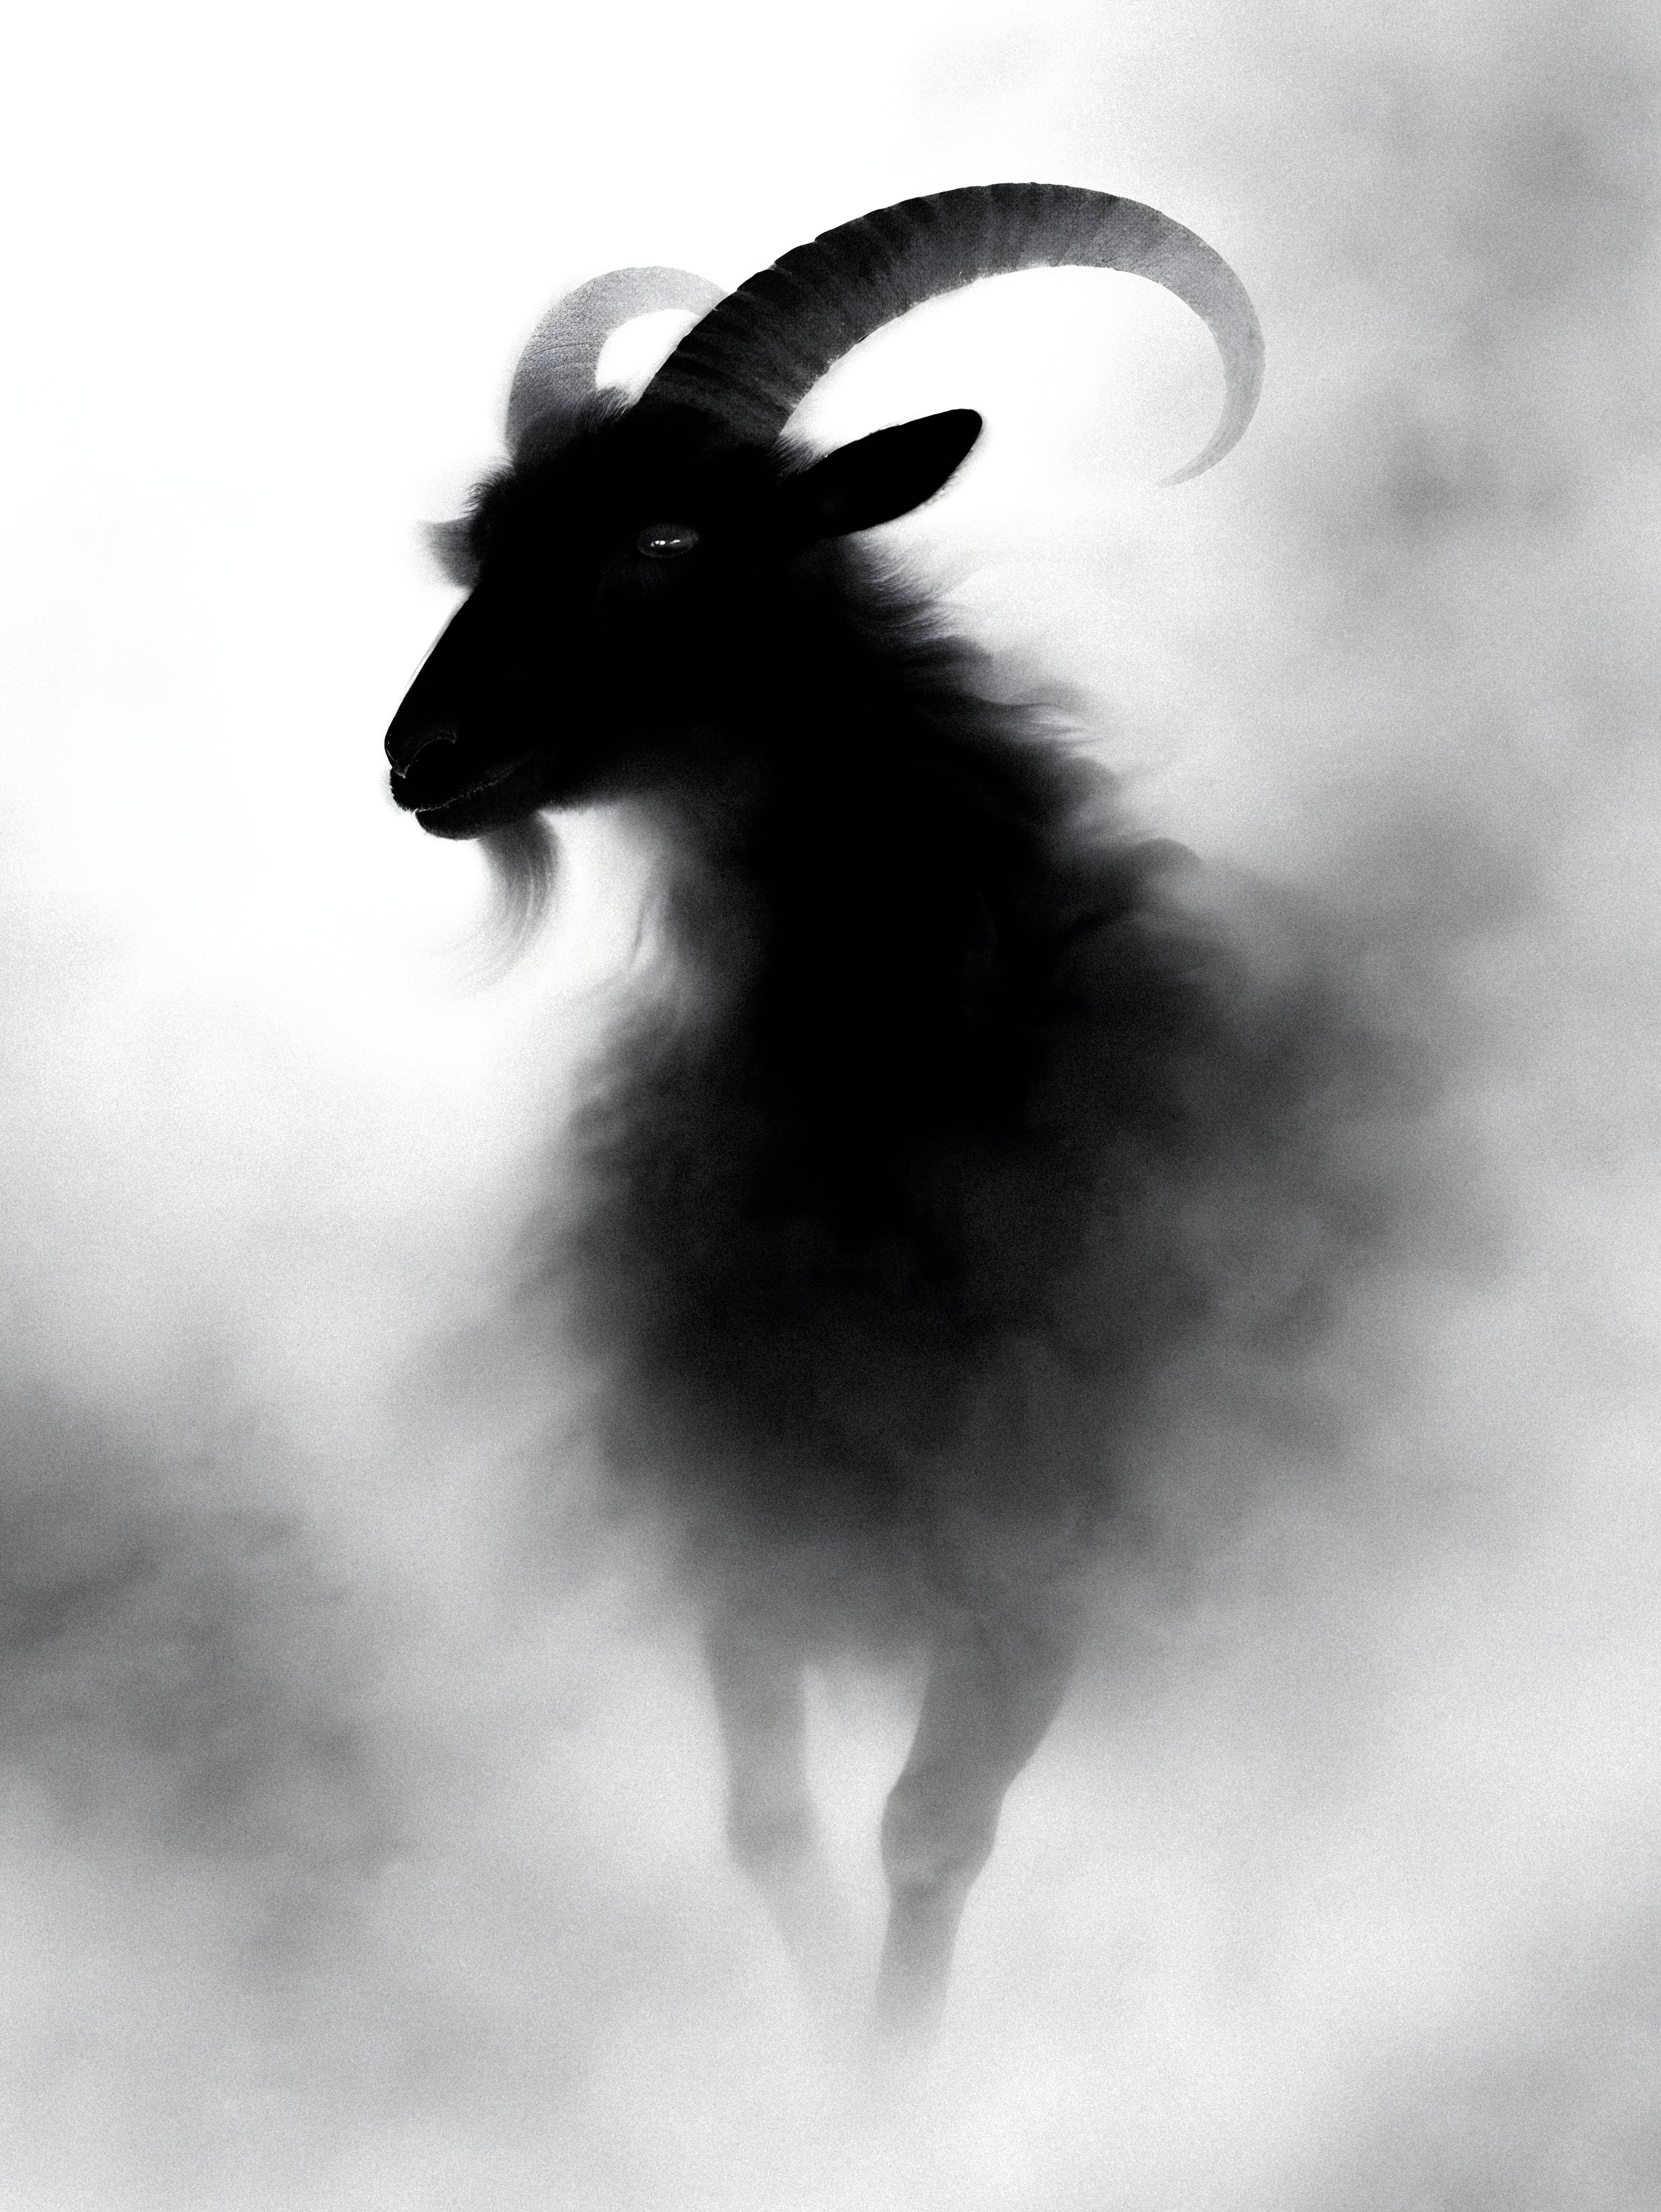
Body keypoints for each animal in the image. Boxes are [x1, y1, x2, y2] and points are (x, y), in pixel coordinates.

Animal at [386, 184, 1356, 2060]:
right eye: (482, 551)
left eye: (670, 538)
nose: (422, 751)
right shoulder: (736, 1528)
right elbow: (770, 1824)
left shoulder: (1039, 1550)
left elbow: (929, 1830)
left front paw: (910, 2092)